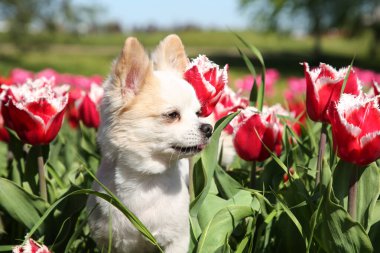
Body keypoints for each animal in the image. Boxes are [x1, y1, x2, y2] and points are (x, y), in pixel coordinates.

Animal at [87, 34, 214, 253]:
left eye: (198, 113)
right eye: (172, 115)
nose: (208, 128)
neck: (144, 181)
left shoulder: (177, 239)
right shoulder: (108, 241)